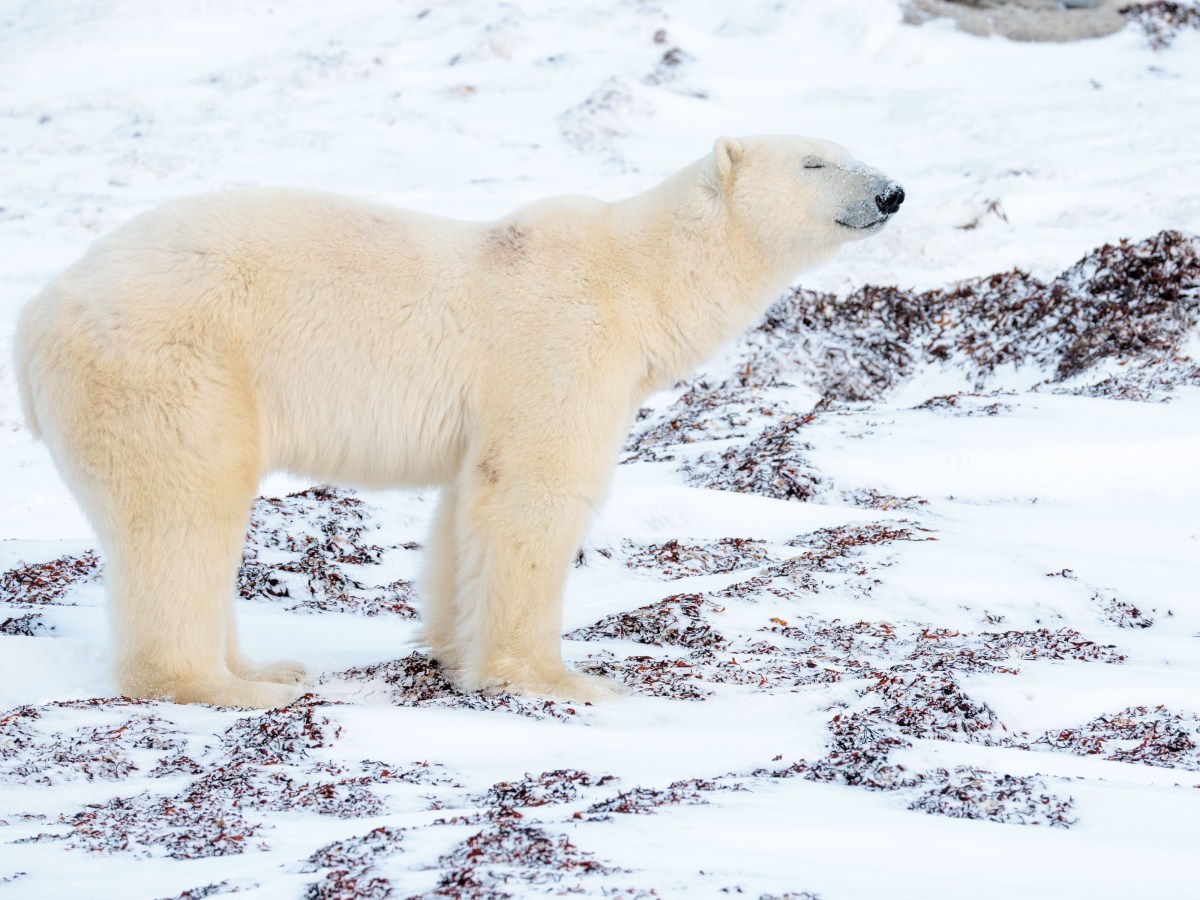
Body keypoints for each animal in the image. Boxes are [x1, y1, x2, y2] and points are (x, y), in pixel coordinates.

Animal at [14, 135, 903, 708]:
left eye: (845, 146)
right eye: (814, 161)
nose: (892, 191)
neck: (638, 277)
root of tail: (35, 319)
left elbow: (465, 502)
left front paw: (447, 643)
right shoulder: (561, 344)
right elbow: (535, 493)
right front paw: (557, 678)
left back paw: (267, 668)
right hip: (172, 368)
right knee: (181, 513)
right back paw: (222, 686)